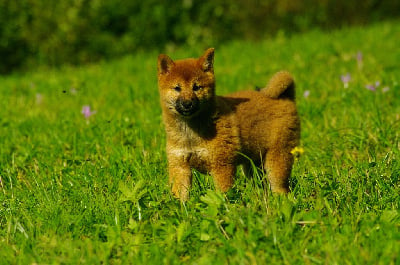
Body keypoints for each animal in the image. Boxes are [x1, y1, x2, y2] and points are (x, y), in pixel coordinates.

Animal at [157, 48, 300, 200]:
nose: (187, 103)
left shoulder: (221, 165)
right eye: (177, 88)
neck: (190, 133)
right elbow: (180, 196)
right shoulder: (179, 166)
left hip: (277, 157)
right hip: (253, 163)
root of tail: (286, 97)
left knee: (281, 187)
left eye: (196, 87)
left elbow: (223, 193)